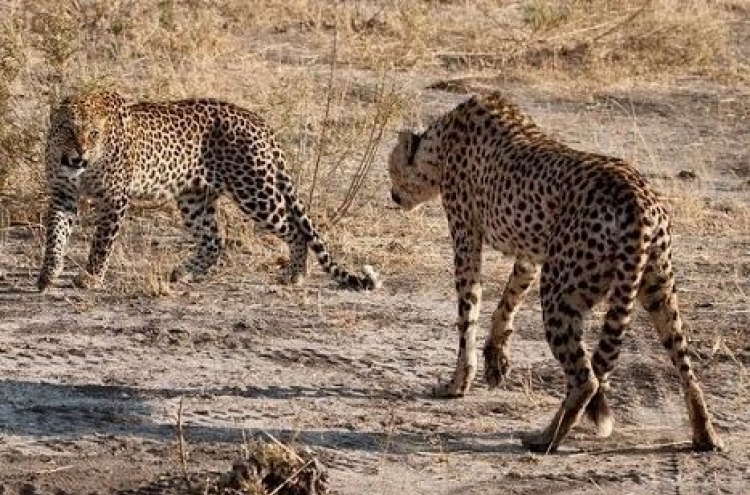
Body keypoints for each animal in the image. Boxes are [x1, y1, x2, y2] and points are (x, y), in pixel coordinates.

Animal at [36, 91, 378, 292]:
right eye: (68, 130)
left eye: (94, 134)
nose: (80, 153)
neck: (79, 167)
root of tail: (258, 121)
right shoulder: (63, 195)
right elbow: (55, 235)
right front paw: (48, 274)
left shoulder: (114, 197)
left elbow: (101, 243)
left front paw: (90, 277)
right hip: (194, 197)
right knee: (215, 239)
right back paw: (184, 273)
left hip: (255, 190)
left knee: (296, 230)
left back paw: (294, 274)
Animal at [388, 91, 724, 456]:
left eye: (391, 169)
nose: (392, 195)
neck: (439, 141)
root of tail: (637, 199)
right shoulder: (531, 257)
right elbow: (507, 301)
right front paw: (496, 358)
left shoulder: (466, 237)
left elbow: (468, 312)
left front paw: (457, 382)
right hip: (656, 287)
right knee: (684, 366)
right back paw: (705, 435)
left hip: (560, 294)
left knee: (585, 378)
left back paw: (545, 438)